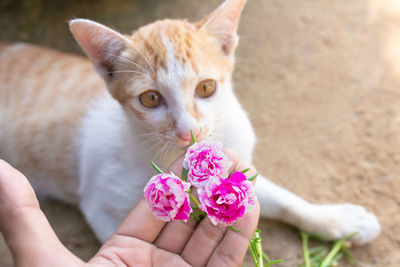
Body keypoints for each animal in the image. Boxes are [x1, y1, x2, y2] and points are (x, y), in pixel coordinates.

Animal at [0, 0, 382, 246]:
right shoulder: (100, 206)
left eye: (206, 88)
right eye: (150, 99)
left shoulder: (238, 162)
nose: (189, 131)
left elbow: (283, 199)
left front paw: (342, 221)